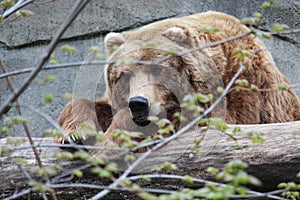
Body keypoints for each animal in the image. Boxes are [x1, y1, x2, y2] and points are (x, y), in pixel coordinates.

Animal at [56, 11, 300, 148]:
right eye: (125, 75)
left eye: (157, 70)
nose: (138, 103)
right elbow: (91, 105)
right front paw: (74, 135)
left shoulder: (243, 86)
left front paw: (111, 140)